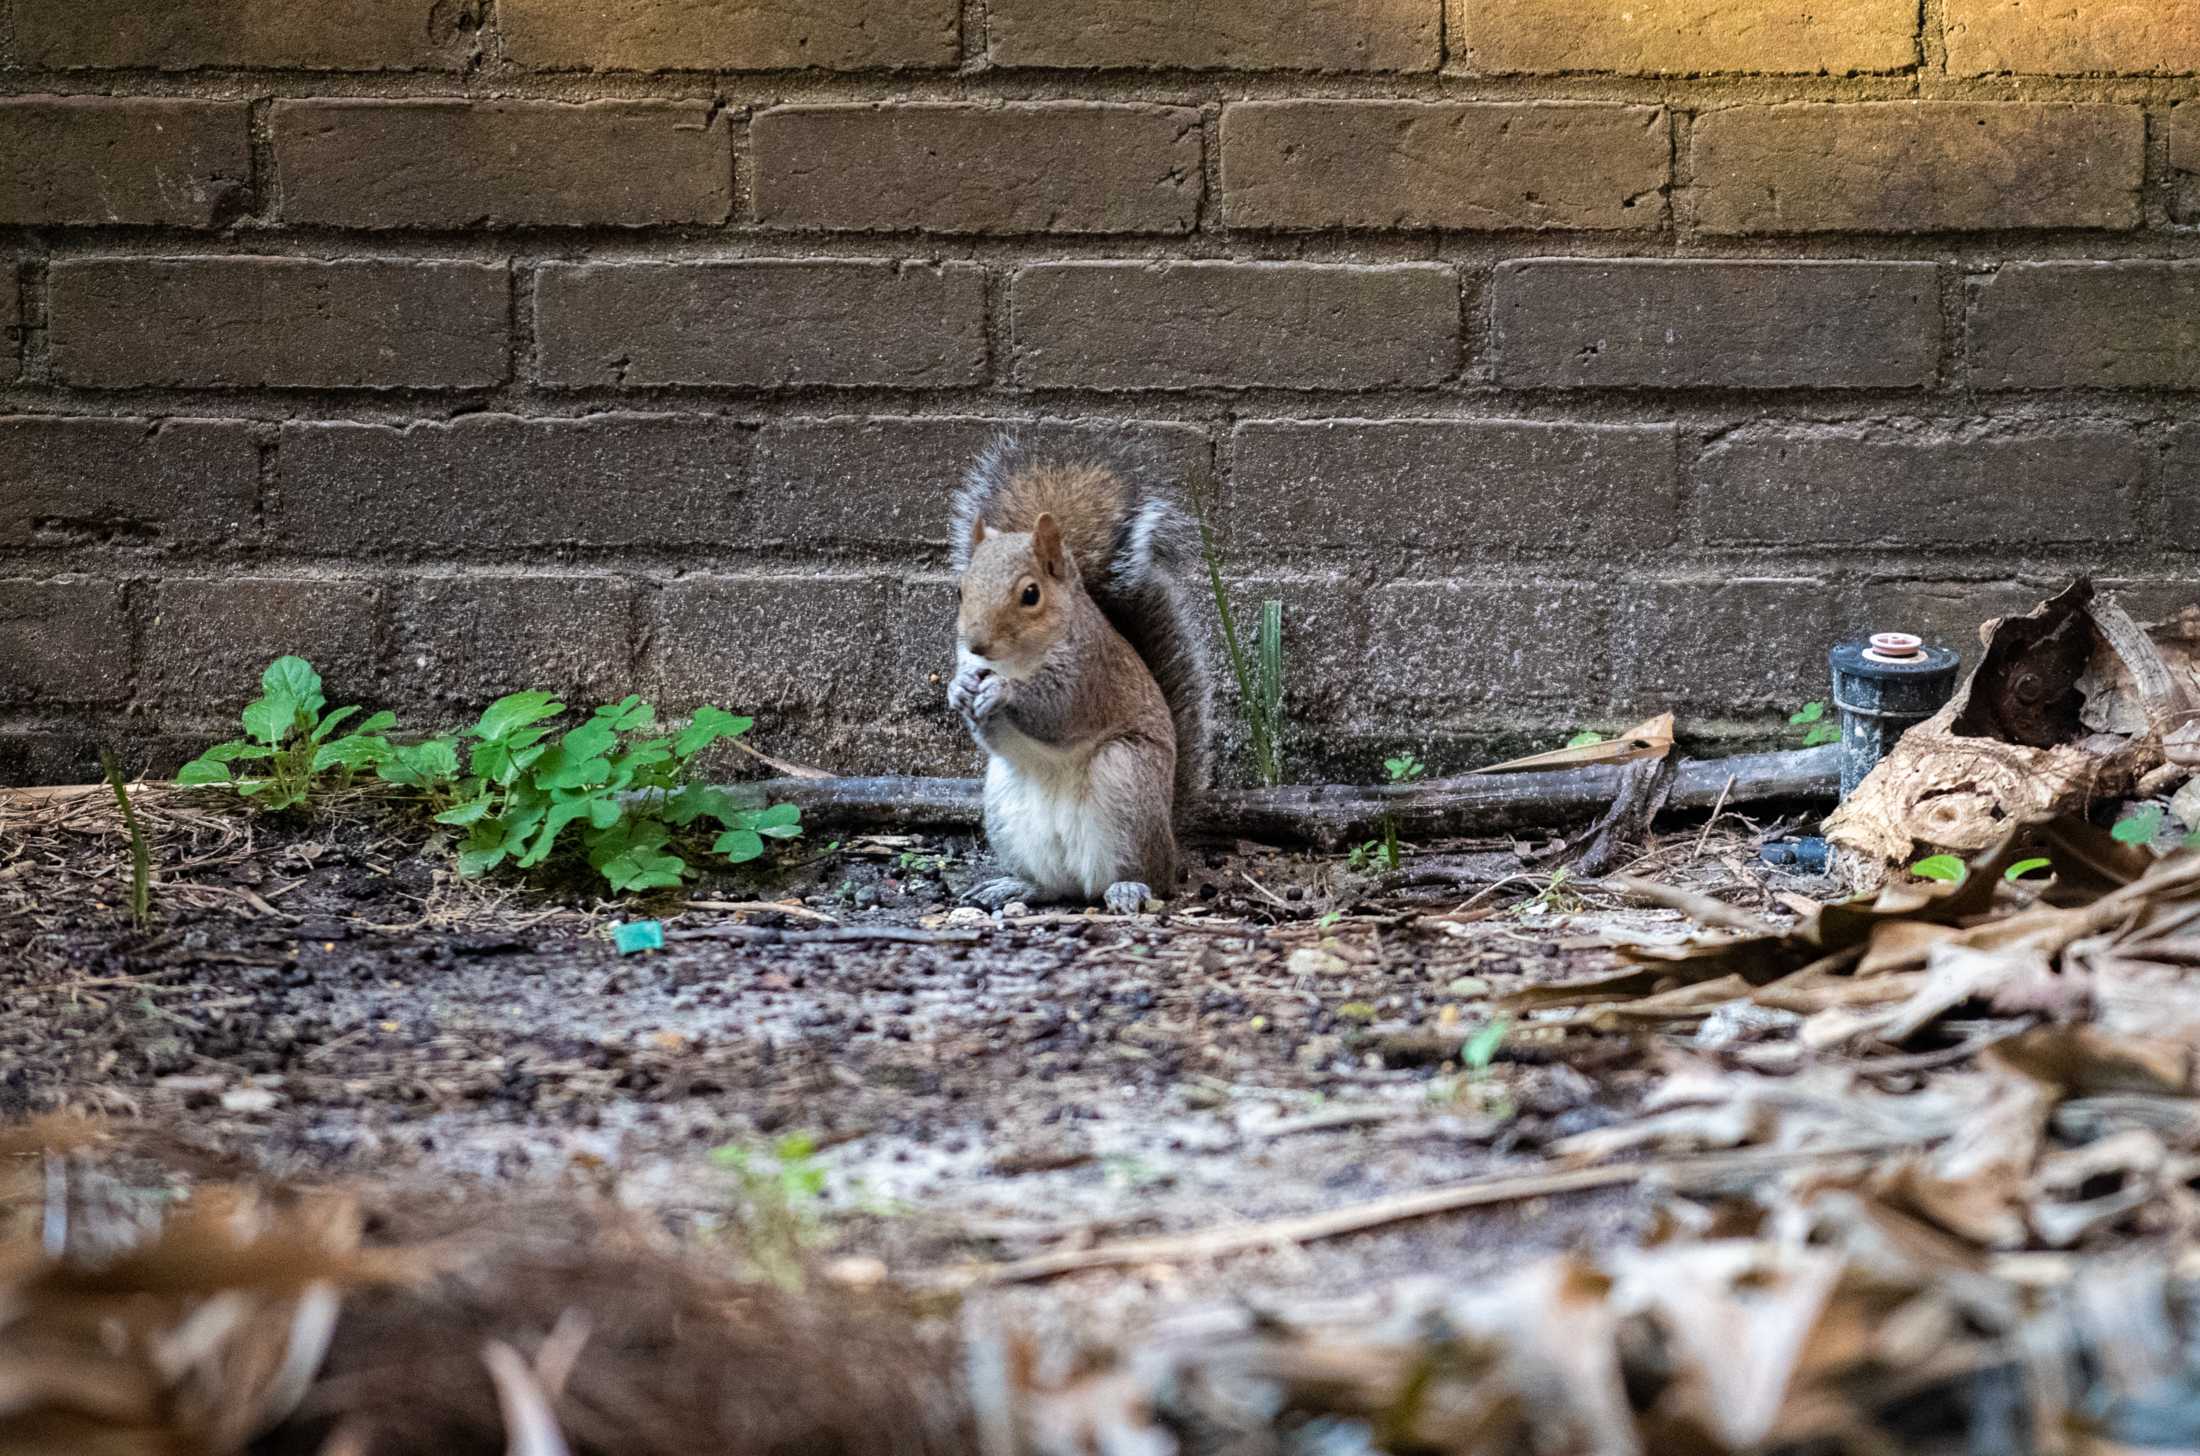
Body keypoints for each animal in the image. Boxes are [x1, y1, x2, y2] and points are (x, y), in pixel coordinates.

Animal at [946, 433, 1214, 914]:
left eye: (1030, 594)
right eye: (960, 590)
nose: (976, 644)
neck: (1019, 659)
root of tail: (1170, 841)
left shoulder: (1089, 677)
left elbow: (1056, 710)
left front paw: (1004, 692)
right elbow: (989, 734)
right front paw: (958, 689)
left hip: (1125, 777)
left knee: (1141, 875)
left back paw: (1128, 888)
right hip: (1005, 807)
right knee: (1053, 886)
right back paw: (1015, 887)